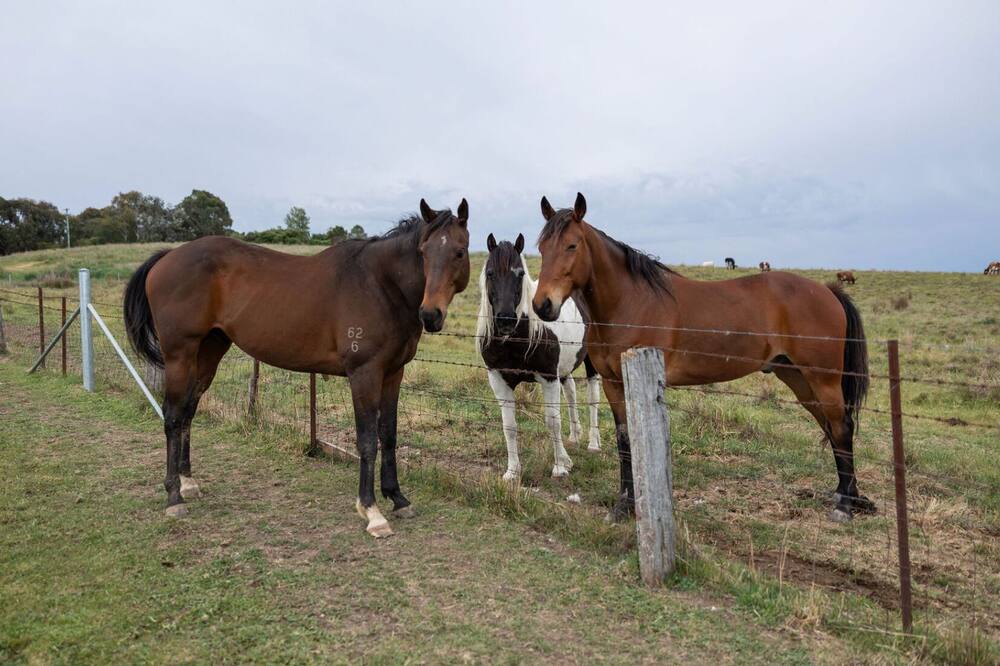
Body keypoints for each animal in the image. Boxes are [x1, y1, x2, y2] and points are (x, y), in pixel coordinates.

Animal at [123, 199, 471, 538]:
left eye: (459, 252)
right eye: (423, 252)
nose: (430, 314)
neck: (380, 285)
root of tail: (168, 256)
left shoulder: (393, 373)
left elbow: (388, 435)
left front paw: (398, 498)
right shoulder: (364, 374)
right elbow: (367, 440)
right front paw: (371, 511)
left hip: (209, 351)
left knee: (188, 412)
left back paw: (189, 483)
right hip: (179, 355)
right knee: (172, 416)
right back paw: (173, 496)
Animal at [477, 233, 601, 481]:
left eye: (520, 273)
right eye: (490, 273)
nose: (505, 319)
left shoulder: (548, 378)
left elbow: (553, 421)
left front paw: (560, 466)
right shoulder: (499, 379)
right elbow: (509, 425)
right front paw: (512, 472)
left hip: (590, 360)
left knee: (593, 395)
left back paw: (593, 443)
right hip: (564, 367)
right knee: (571, 390)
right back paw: (574, 436)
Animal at [532, 193, 873, 523]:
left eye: (572, 245)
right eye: (542, 247)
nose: (542, 305)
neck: (631, 301)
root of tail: (827, 291)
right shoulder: (613, 384)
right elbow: (624, 441)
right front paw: (623, 506)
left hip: (822, 378)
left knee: (841, 427)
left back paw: (845, 506)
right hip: (798, 378)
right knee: (831, 427)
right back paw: (848, 496)